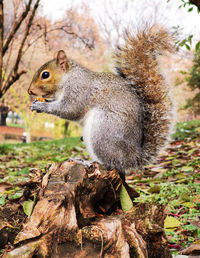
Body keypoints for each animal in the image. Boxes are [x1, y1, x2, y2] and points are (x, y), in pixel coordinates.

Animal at [28, 25, 175, 175]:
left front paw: (41, 106)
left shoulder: (79, 91)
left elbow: (70, 110)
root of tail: (133, 157)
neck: (68, 78)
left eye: (45, 74)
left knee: (111, 163)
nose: (30, 91)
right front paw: (38, 103)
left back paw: (87, 162)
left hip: (103, 132)